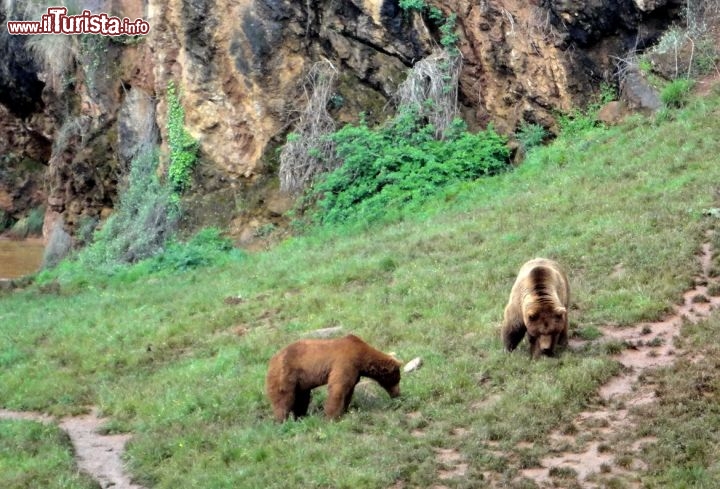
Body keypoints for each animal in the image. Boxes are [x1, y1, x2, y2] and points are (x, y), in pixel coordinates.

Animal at [266, 334, 402, 422]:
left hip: (300, 382)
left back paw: (300, 417)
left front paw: (344, 411)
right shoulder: (346, 362)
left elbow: (349, 390)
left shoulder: (355, 371)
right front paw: (331, 416)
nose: (398, 394)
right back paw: (282, 420)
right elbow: (338, 387)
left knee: (302, 398)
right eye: (398, 379)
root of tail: (272, 360)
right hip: (286, 373)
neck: (362, 358)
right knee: (284, 397)